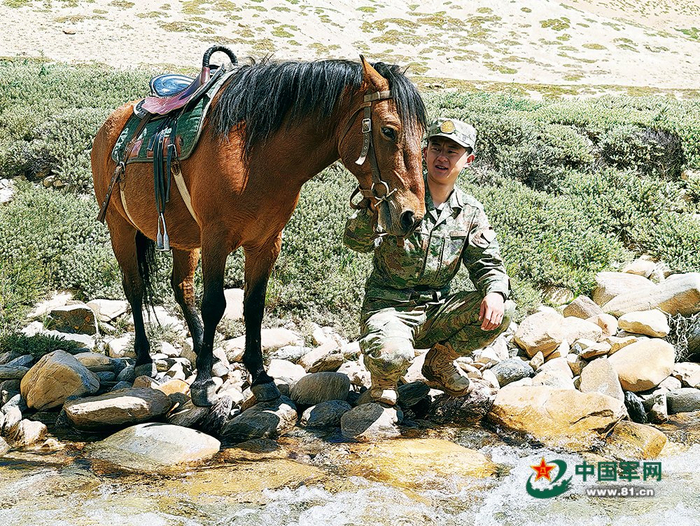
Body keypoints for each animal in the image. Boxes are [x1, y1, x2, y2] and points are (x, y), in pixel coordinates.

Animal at [91, 54, 427, 407]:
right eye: (389, 130)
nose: (411, 215)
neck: (256, 157)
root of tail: (110, 125)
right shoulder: (216, 239)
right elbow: (214, 304)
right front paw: (203, 383)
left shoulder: (266, 243)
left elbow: (253, 306)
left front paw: (260, 375)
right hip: (121, 228)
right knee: (135, 287)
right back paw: (145, 358)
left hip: (183, 239)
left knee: (182, 288)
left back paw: (205, 353)